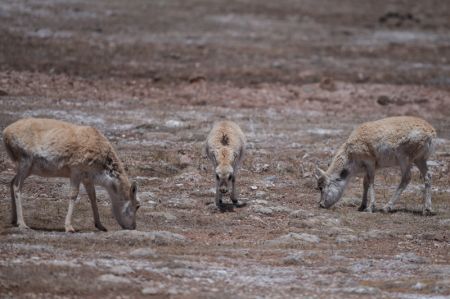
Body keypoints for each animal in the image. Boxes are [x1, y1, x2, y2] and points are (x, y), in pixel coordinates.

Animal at [2, 118, 140, 233]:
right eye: (138, 205)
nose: (133, 226)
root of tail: (5, 133)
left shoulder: (87, 178)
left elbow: (93, 197)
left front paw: (100, 225)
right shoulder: (76, 171)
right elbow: (73, 195)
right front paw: (69, 227)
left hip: (27, 168)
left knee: (11, 182)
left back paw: (13, 220)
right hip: (25, 162)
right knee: (17, 186)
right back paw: (22, 224)